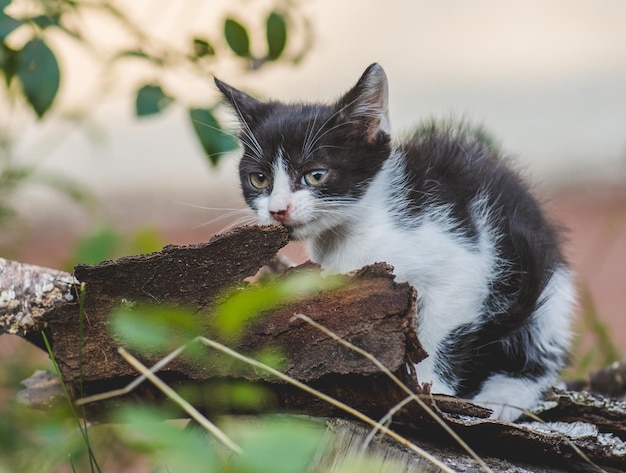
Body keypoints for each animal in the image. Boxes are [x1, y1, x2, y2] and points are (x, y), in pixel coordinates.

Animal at [216, 62, 576, 420]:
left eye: (315, 175)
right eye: (259, 179)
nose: (278, 210)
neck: (358, 228)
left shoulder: (465, 262)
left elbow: (438, 330)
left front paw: (430, 389)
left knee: (539, 350)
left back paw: (502, 397)